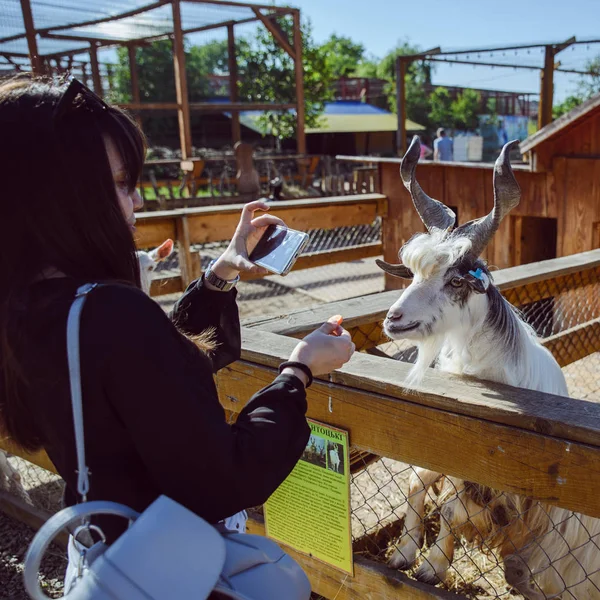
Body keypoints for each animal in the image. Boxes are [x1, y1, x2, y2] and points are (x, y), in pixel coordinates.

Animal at [378, 137, 600, 600]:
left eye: (456, 280)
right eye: (412, 273)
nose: (394, 320)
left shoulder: (497, 478)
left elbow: (451, 511)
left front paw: (431, 568)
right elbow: (419, 484)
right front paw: (405, 554)